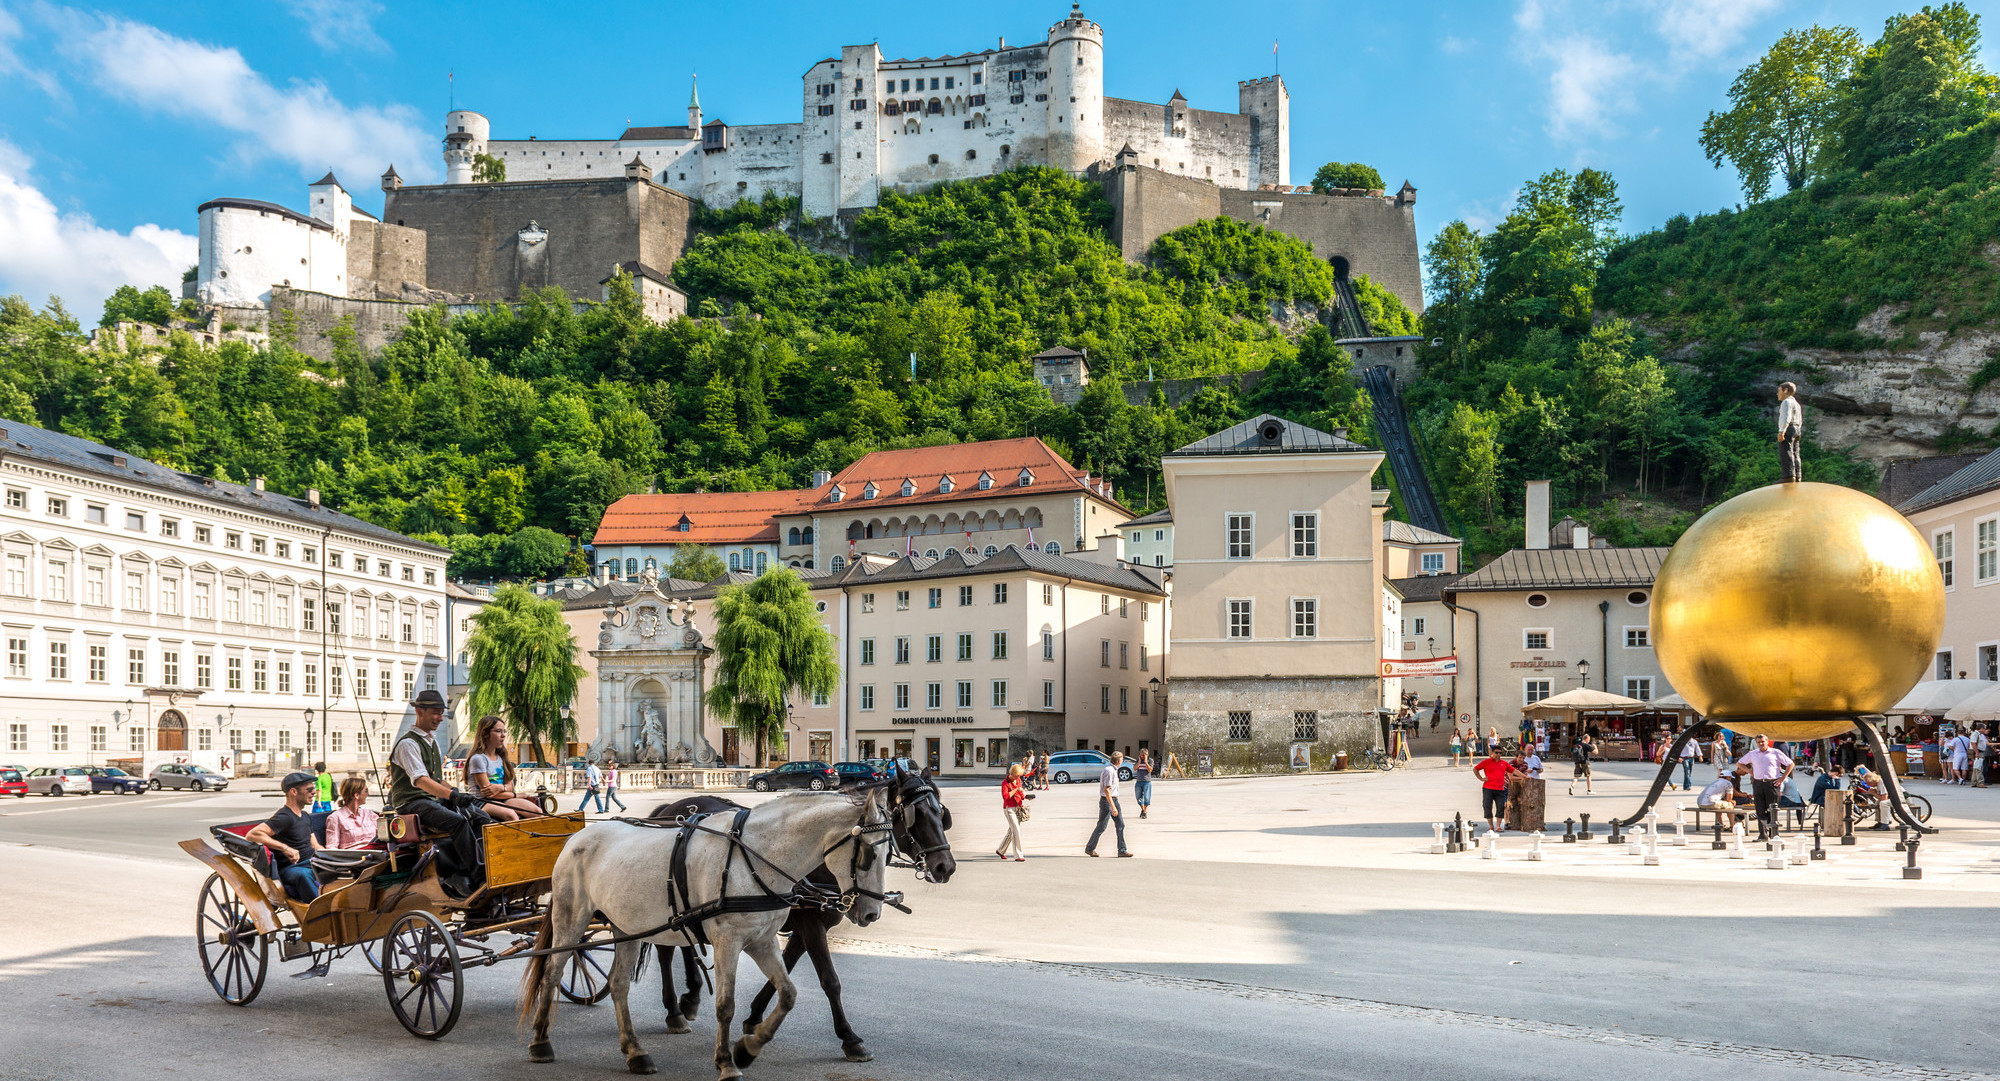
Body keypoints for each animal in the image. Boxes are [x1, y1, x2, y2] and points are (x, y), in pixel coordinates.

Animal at [524, 788, 892, 1072]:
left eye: (889, 852)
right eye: (868, 854)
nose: (872, 912)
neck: (755, 858)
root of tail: (577, 836)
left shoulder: (763, 941)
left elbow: (788, 993)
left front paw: (748, 1047)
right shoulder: (731, 941)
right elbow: (727, 1005)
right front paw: (728, 1061)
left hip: (625, 925)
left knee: (618, 985)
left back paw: (635, 1051)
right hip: (572, 918)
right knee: (553, 972)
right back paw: (541, 1041)